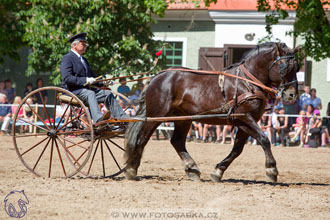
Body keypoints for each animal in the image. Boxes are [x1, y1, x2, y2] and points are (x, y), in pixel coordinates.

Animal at [124, 42, 300, 183]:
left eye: (297, 67)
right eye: (283, 67)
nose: (292, 95)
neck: (247, 83)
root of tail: (157, 77)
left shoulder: (244, 122)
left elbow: (237, 149)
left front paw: (218, 171)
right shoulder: (245, 118)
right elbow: (264, 140)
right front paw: (272, 169)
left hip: (183, 118)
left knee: (177, 141)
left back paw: (192, 169)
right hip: (156, 116)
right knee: (142, 139)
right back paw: (131, 169)